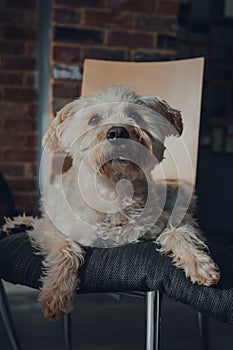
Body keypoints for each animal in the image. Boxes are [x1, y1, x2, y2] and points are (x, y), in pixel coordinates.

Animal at [2, 85, 219, 320]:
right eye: (94, 119)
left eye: (135, 115)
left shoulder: (166, 219)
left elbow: (178, 232)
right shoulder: (53, 228)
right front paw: (57, 293)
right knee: (36, 220)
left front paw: (198, 263)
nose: (117, 131)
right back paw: (16, 223)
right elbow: (66, 249)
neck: (115, 191)